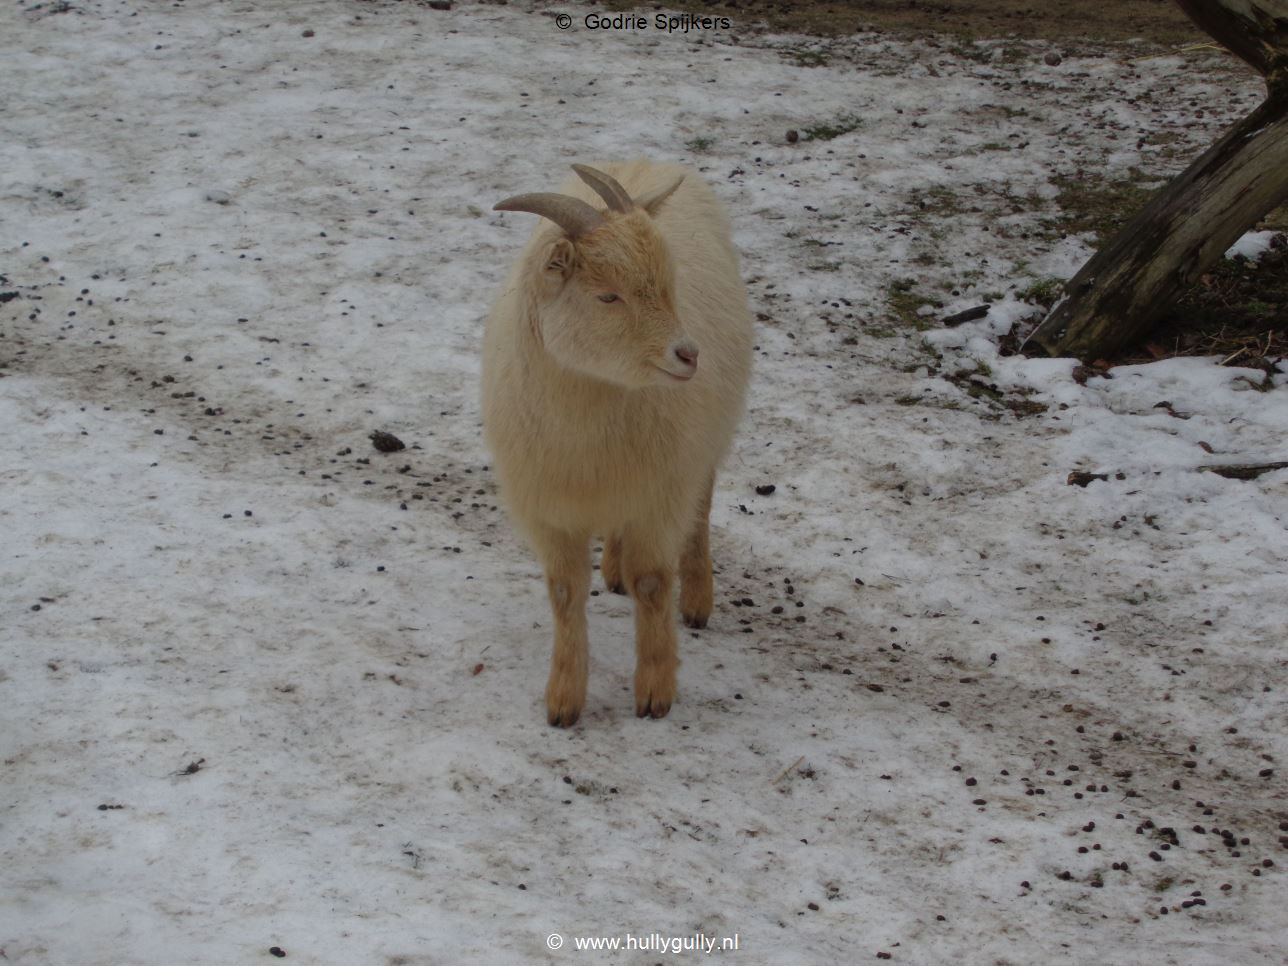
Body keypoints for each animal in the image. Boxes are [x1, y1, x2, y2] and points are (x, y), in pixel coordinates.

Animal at [481, 160, 753, 726]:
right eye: (607, 295)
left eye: (668, 285)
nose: (688, 355)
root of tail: (644, 160)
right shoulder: (552, 510)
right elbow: (565, 592)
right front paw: (563, 699)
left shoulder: (660, 496)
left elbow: (651, 582)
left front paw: (654, 691)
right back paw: (612, 569)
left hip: (704, 445)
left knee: (701, 509)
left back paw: (697, 598)